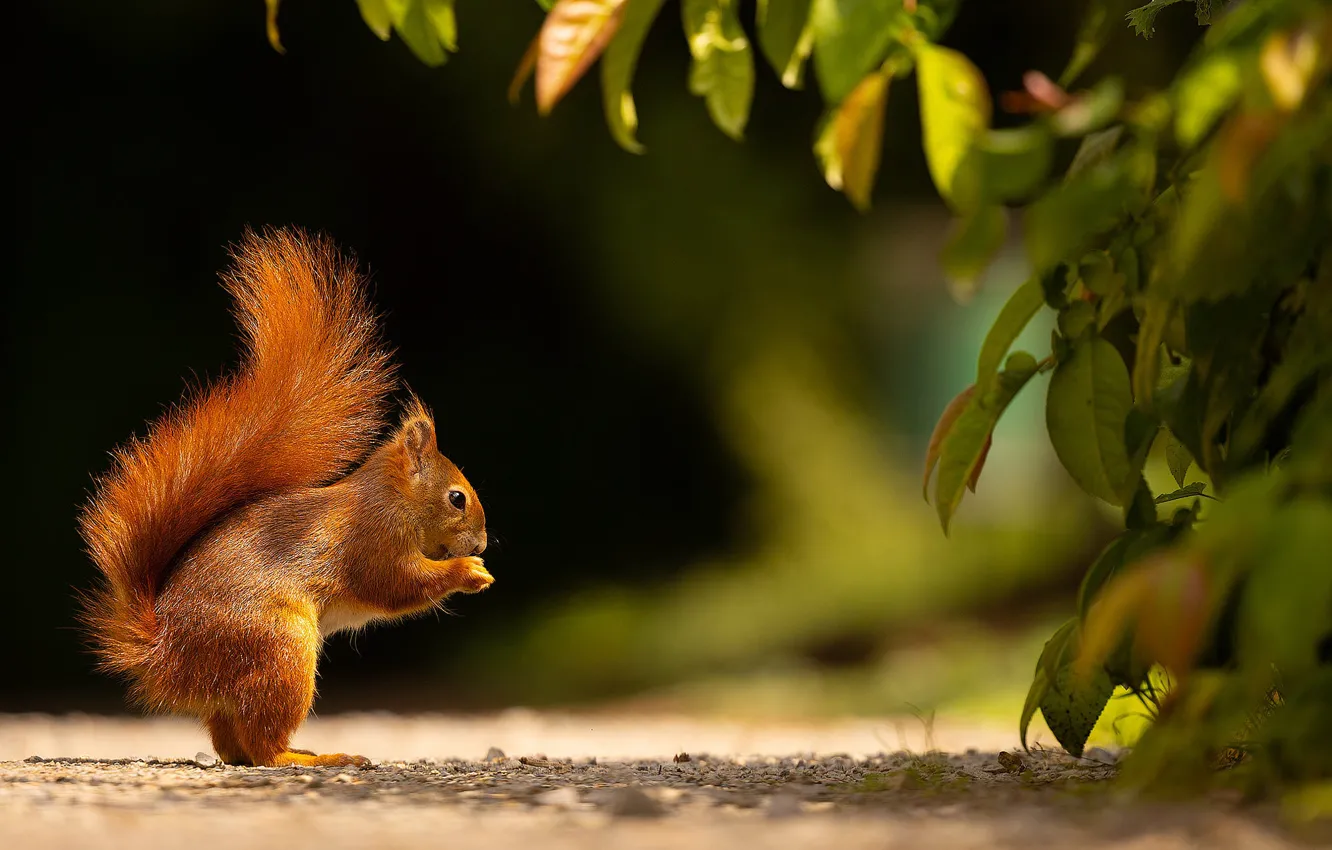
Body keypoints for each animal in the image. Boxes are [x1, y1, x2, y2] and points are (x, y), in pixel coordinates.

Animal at [78, 227, 494, 768]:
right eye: (457, 498)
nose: (481, 545)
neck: (390, 498)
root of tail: (163, 655)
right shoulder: (371, 539)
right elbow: (395, 584)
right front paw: (469, 572)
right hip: (280, 647)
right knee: (263, 747)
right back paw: (311, 759)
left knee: (231, 743)